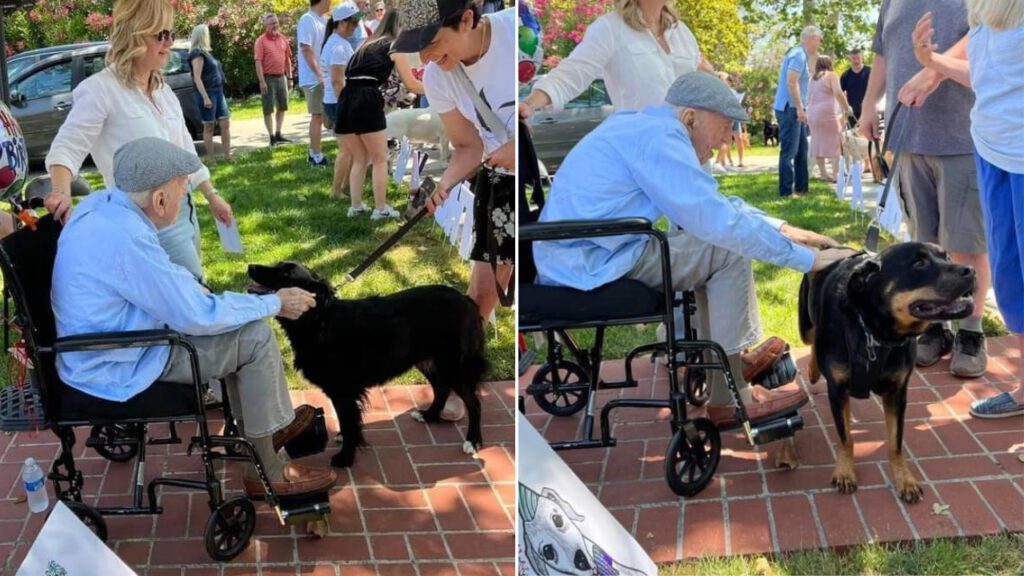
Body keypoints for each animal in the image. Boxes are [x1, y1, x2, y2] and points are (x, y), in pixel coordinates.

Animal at [247, 260, 487, 467]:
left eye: (286, 274)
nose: (250, 267)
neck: (319, 319)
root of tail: (467, 301)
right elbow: (349, 424)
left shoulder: (343, 391)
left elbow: (349, 424)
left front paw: (345, 458)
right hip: (428, 361)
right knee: (442, 388)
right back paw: (429, 415)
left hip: (454, 366)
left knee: (474, 403)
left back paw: (472, 440)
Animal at [798, 241, 974, 502]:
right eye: (918, 263)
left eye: (947, 257)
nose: (971, 270)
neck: (875, 333)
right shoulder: (837, 391)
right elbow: (846, 437)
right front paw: (845, 472)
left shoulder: (897, 393)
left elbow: (895, 443)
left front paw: (904, 479)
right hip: (806, 325)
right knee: (810, 340)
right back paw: (812, 368)